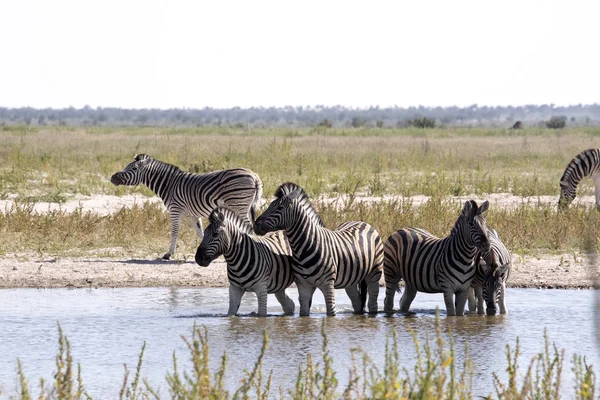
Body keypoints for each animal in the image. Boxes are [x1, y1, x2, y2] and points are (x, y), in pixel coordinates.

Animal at [111, 153, 262, 260]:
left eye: (134, 168)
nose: (112, 178)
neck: (169, 185)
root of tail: (254, 176)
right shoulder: (193, 215)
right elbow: (200, 232)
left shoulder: (175, 210)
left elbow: (174, 231)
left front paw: (168, 254)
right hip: (245, 206)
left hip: (239, 205)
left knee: (248, 227)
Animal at [251, 183, 382, 318]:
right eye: (270, 206)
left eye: (280, 208)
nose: (256, 225)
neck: (303, 249)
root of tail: (362, 222)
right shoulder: (303, 284)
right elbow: (304, 312)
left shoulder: (328, 283)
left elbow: (331, 312)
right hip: (350, 279)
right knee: (357, 302)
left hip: (374, 271)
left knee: (372, 301)